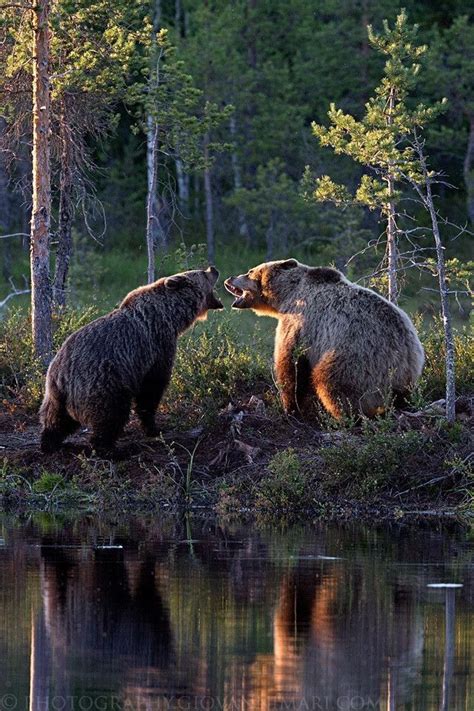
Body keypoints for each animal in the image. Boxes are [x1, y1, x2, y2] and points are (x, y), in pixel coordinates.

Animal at [39, 264, 223, 454]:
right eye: (202, 273)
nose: (213, 268)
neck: (169, 317)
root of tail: (62, 375)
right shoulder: (157, 349)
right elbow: (151, 389)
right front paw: (154, 428)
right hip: (103, 382)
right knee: (110, 415)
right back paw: (112, 450)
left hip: (56, 393)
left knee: (56, 419)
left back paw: (50, 443)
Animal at [226, 260, 426, 418]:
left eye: (250, 271)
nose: (229, 279)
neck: (287, 295)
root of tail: (405, 352)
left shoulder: (299, 322)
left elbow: (290, 364)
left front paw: (290, 406)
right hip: (407, 371)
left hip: (359, 357)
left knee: (330, 382)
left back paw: (343, 416)